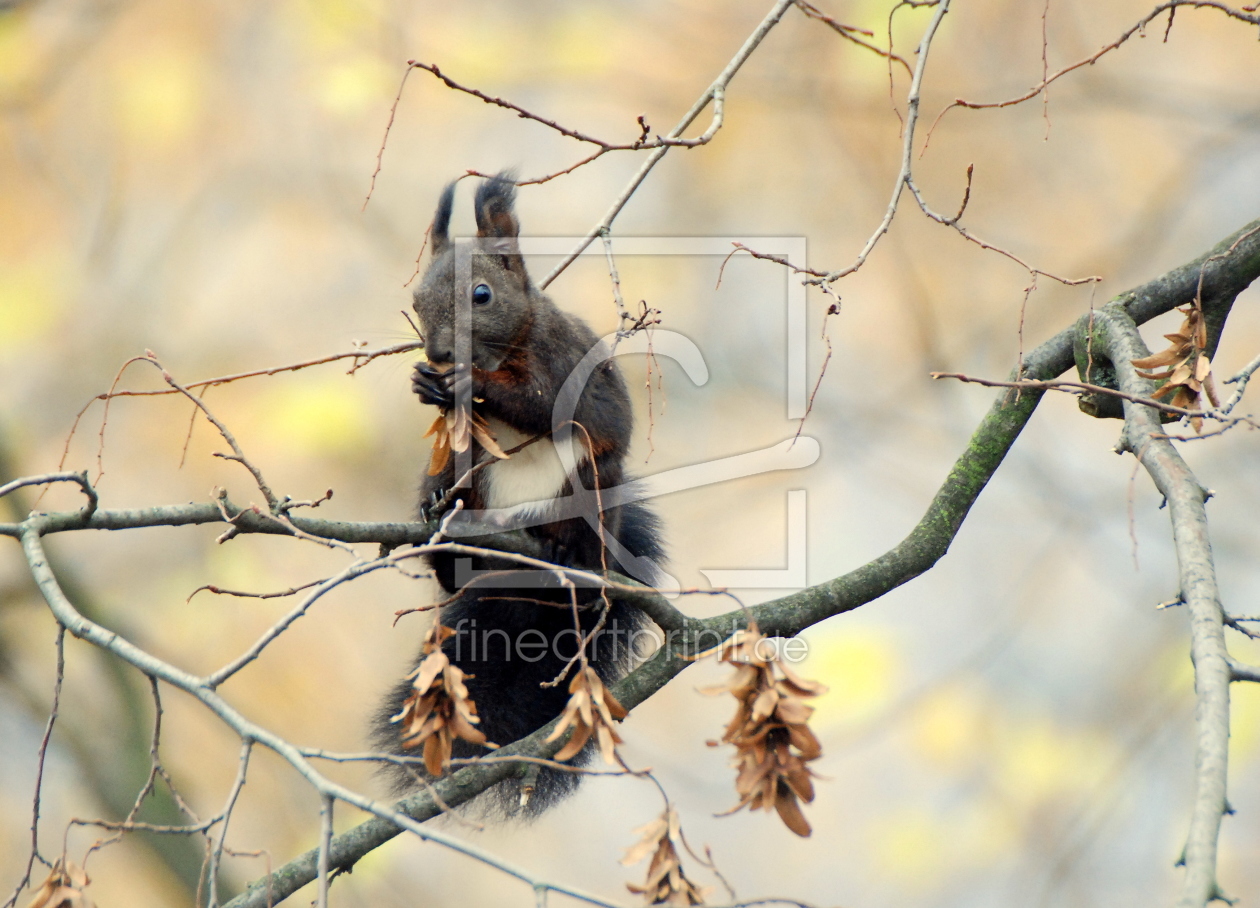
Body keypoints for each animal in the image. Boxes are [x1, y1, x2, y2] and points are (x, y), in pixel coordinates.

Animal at [370, 171, 665, 816]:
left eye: (481, 295)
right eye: (415, 302)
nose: (437, 355)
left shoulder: (561, 366)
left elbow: (537, 404)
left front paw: (469, 383)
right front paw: (426, 384)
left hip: (593, 486)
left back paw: (569, 558)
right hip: (458, 467)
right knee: (450, 524)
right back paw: (444, 537)